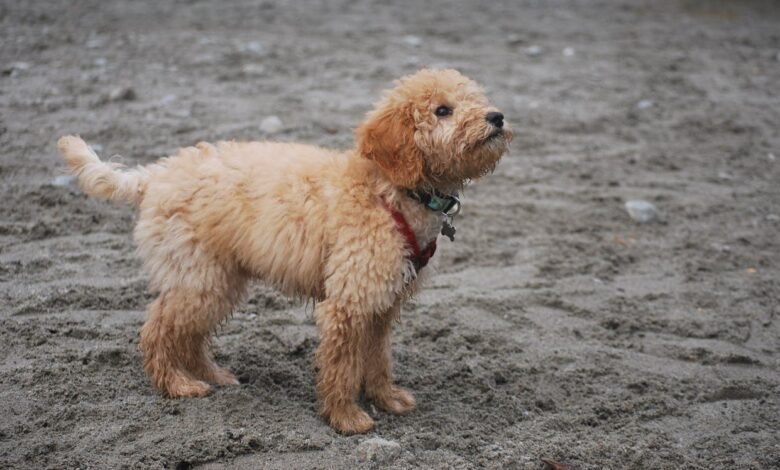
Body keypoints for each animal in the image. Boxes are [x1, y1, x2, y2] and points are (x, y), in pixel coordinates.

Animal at [58, 68, 516, 436]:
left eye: (474, 99)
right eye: (442, 110)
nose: (497, 116)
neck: (390, 190)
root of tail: (156, 176)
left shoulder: (383, 304)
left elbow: (378, 357)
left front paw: (387, 398)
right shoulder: (349, 301)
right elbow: (342, 365)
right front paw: (346, 418)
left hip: (217, 279)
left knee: (188, 335)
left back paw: (214, 375)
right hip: (198, 276)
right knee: (157, 331)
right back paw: (177, 385)